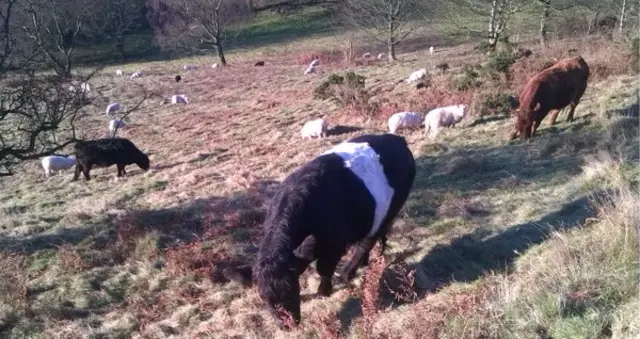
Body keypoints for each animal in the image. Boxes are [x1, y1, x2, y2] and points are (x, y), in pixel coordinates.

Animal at [252, 133, 418, 330]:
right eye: (264, 299)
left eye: (291, 290)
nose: (286, 325)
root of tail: (398, 139)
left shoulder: (333, 246)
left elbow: (323, 270)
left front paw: (323, 292)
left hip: (390, 210)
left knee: (368, 241)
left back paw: (347, 273)